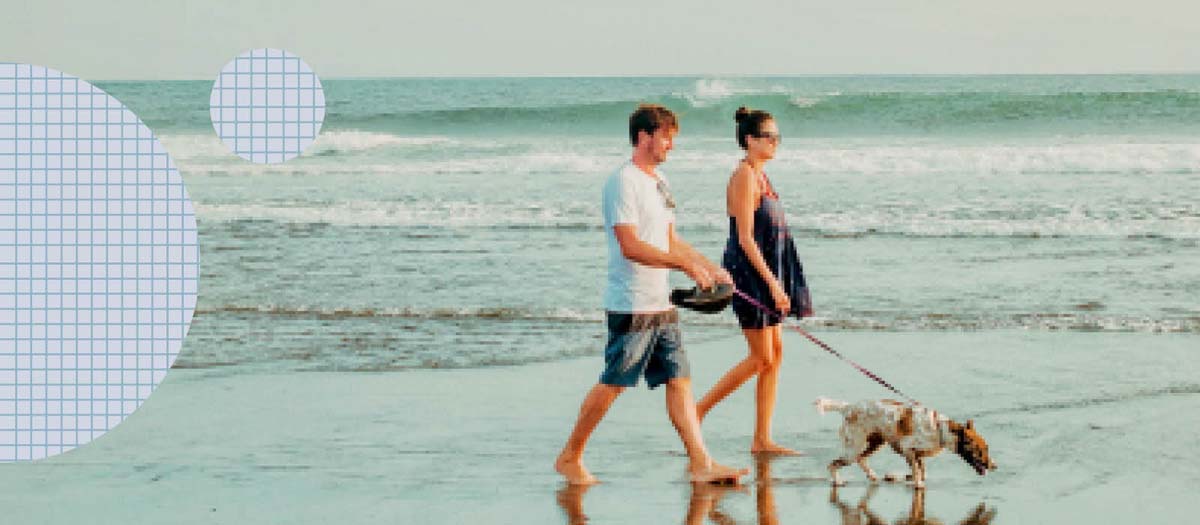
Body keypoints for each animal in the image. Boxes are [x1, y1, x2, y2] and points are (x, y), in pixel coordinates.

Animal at [816, 397, 993, 489]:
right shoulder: (908, 449)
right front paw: (917, 483)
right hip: (853, 449)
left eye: (987, 448)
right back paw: (838, 481)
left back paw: (872, 476)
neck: (939, 429)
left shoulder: (916, 454)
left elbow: (921, 469)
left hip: (876, 443)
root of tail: (848, 407)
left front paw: (910, 477)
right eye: (979, 450)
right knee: (833, 464)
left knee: (861, 459)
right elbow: (916, 470)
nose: (994, 466)